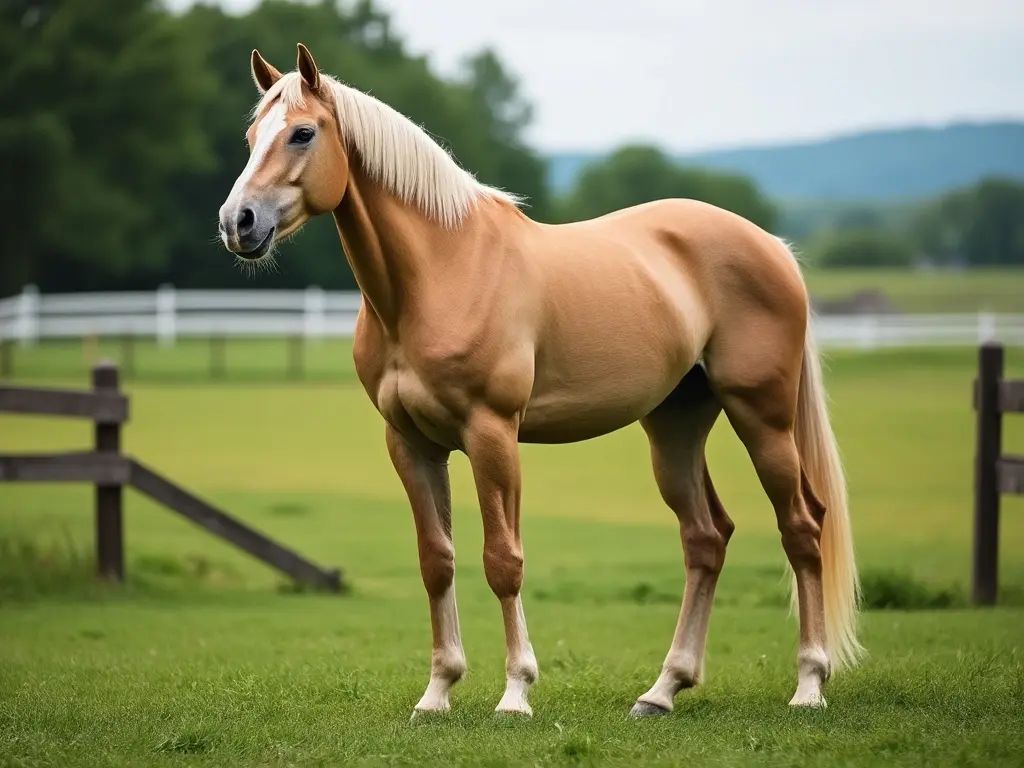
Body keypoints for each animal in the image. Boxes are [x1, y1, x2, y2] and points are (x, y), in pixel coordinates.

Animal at [218, 40, 864, 716]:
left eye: (303, 133)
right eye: (252, 136)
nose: (238, 222)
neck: (441, 273)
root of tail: (770, 245)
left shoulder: (492, 434)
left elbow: (503, 559)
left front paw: (515, 692)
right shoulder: (411, 442)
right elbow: (436, 560)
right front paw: (437, 691)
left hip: (762, 417)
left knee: (801, 528)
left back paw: (809, 684)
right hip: (675, 426)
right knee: (706, 537)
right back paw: (662, 691)